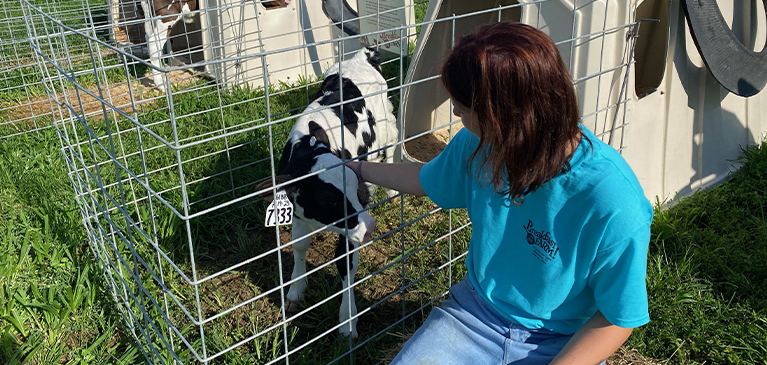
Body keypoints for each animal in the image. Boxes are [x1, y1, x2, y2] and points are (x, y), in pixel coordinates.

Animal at [258, 48, 400, 338]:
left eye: (358, 192)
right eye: (330, 200)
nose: (370, 228)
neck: (309, 148)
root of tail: (362, 56)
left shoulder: (351, 229)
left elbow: (346, 265)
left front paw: (348, 320)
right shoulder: (298, 212)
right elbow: (299, 246)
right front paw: (295, 291)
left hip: (389, 121)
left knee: (392, 145)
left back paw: (391, 190)